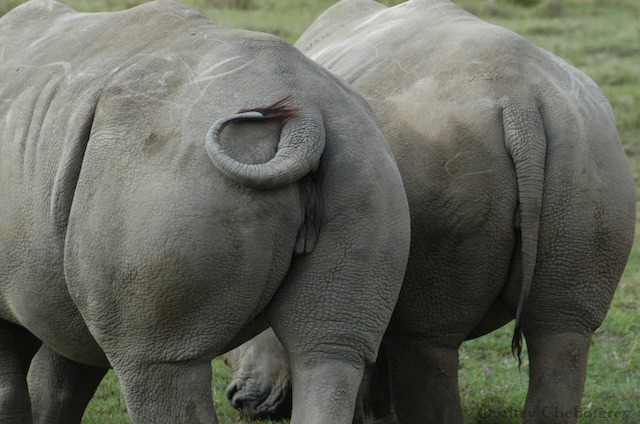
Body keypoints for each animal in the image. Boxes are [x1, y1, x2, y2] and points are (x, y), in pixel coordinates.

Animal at [0, 0, 410, 424]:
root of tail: (307, 120)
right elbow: (56, 383)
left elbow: (15, 385)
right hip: (365, 165)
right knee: (329, 352)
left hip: (164, 181)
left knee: (158, 362)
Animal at [225, 0, 636, 422]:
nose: (243, 401)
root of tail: (522, 105)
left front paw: (372, 415)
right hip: (588, 149)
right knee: (561, 330)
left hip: (449, 156)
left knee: (428, 339)